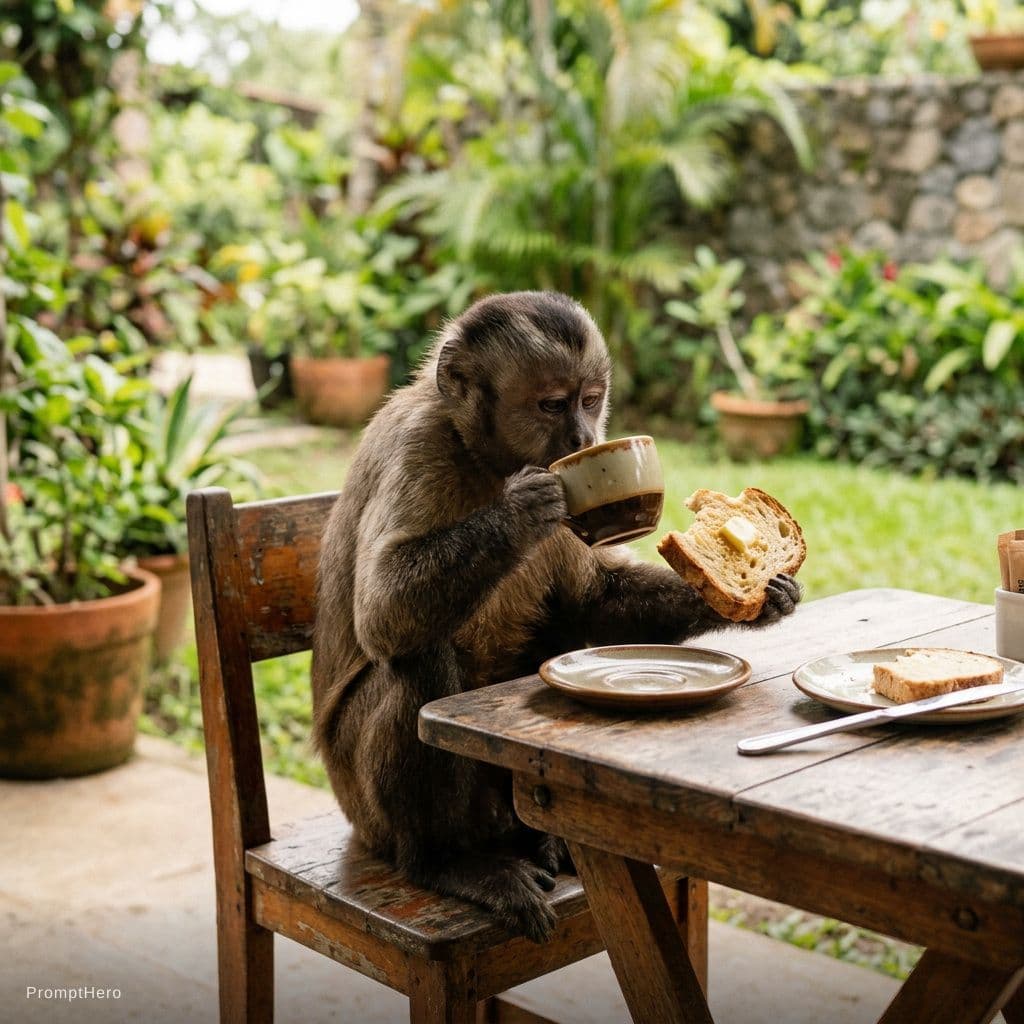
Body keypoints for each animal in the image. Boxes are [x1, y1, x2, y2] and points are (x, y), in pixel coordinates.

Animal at [311, 291, 801, 943]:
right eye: (551, 405)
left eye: (590, 400)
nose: (584, 435)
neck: (485, 456)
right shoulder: (419, 446)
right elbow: (384, 612)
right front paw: (523, 511)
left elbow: (599, 599)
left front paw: (759, 598)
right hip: (361, 808)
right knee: (418, 658)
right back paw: (445, 862)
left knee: (567, 621)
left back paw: (540, 841)